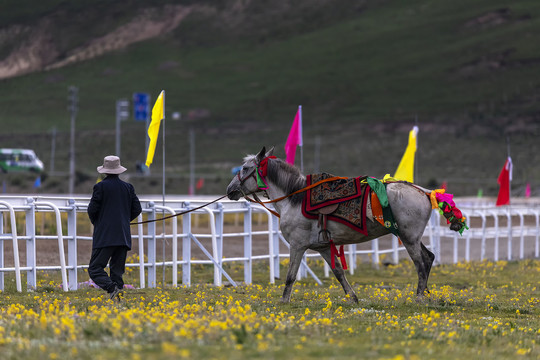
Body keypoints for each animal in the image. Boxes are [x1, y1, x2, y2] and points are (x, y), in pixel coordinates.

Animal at [225, 146, 456, 304]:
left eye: (245, 168)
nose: (230, 190)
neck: (294, 198)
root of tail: (424, 192)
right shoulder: (324, 247)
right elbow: (338, 272)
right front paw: (353, 298)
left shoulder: (297, 246)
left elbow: (291, 275)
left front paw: (284, 301)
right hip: (410, 237)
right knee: (429, 258)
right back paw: (425, 294)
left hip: (409, 239)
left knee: (421, 263)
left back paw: (418, 297)